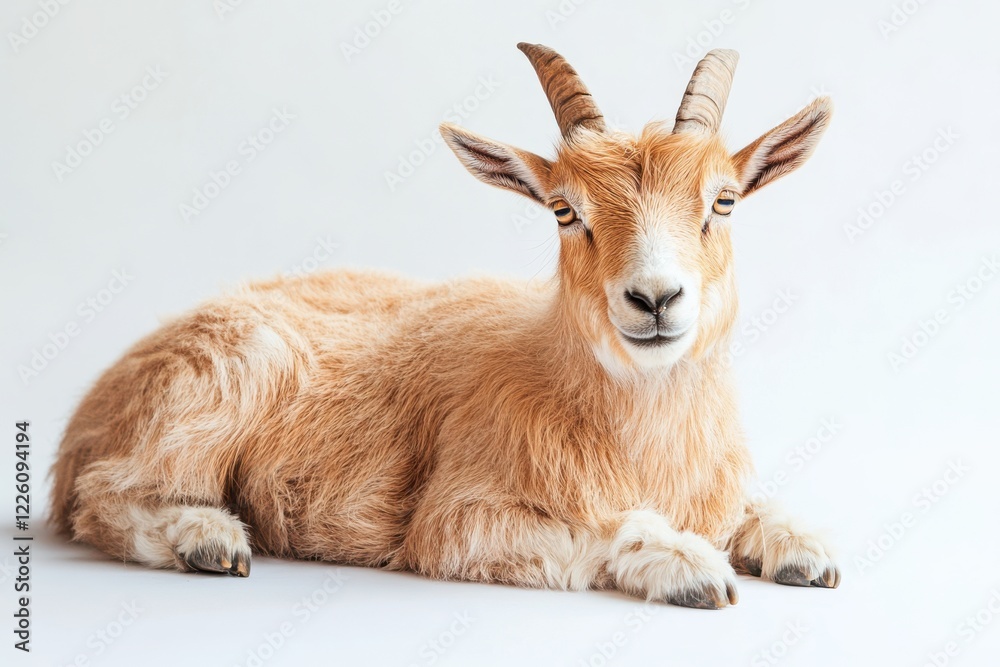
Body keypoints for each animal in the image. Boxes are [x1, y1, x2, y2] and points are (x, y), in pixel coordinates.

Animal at [50, 44, 839, 608]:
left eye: (724, 201)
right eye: (564, 210)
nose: (654, 298)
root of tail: (86, 418)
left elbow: (753, 509)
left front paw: (802, 548)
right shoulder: (457, 518)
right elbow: (589, 529)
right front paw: (689, 567)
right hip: (223, 381)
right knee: (104, 495)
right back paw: (207, 538)